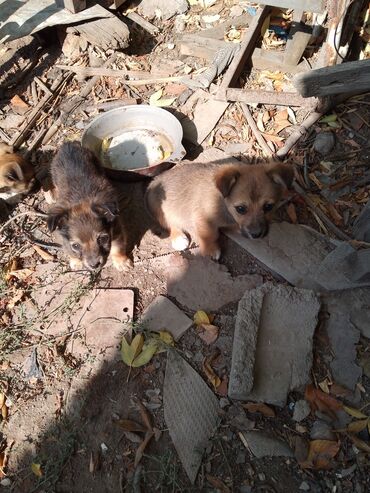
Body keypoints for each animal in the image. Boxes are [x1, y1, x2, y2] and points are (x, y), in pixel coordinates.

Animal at [47, 140, 132, 270]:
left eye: (102, 238)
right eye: (76, 246)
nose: (94, 265)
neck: (80, 200)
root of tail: (69, 144)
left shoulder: (117, 230)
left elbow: (117, 248)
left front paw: (121, 262)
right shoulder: (64, 239)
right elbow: (68, 250)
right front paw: (75, 261)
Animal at [146, 160, 294, 262]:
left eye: (268, 207)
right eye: (241, 209)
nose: (256, 235)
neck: (224, 204)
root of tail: (154, 181)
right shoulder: (202, 218)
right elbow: (210, 234)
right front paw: (211, 250)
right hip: (162, 210)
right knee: (170, 223)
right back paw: (178, 237)